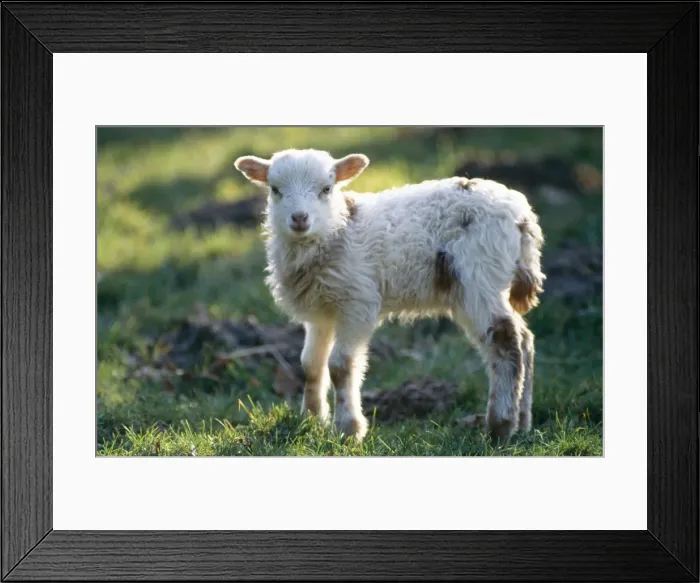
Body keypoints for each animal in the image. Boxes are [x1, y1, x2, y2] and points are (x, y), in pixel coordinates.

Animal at [234, 148, 545, 443]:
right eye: (275, 189)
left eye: (327, 189)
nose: (299, 218)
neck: (338, 230)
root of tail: (522, 215)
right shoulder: (321, 309)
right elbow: (310, 363)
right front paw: (312, 419)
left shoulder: (357, 302)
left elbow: (340, 365)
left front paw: (348, 430)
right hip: (486, 283)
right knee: (525, 338)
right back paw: (523, 421)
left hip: (478, 275)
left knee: (505, 340)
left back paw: (499, 427)